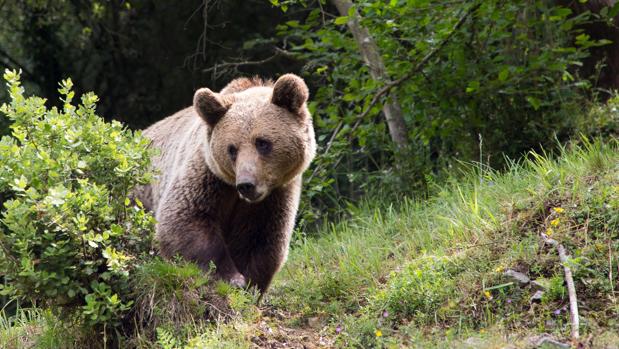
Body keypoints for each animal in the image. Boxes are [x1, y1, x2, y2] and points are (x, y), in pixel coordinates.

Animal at [137, 75, 318, 292]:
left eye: (262, 142)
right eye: (232, 149)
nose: (246, 184)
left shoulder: (274, 197)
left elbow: (261, 239)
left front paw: (249, 282)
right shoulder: (208, 177)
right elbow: (184, 219)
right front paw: (231, 277)